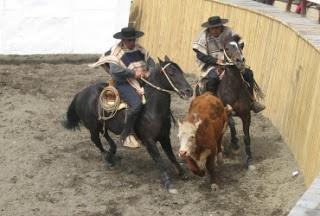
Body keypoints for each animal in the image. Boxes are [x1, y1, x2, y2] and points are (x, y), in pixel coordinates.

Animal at [62, 56, 192, 193]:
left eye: (181, 71)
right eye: (171, 72)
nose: (189, 91)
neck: (153, 109)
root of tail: (80, 94)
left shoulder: (165, 137)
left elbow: (171, 156)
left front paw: (182, 173)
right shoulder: (149, 141)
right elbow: (159, 160)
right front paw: (168, 182)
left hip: (103, 124)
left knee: (106, 135)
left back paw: (112, 152)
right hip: (93, 126)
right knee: (96, 140)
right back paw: (107, 158)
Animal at [195, 36, 262, 170]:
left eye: (240, 46)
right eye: (227, 48)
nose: (240, 61)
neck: (233, 89)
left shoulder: (246, 114)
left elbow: (247, 137)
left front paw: (249, 161)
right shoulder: (227, 112)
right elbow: (232, 125)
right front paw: (235, 144)